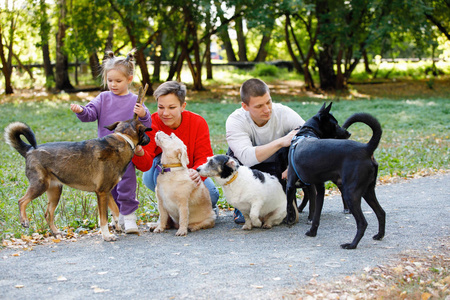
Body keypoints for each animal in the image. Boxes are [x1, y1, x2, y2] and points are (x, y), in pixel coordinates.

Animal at [3, 119, 151, 241]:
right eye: (145, 131)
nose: (150, 138)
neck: (124, 139)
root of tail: (29, 150)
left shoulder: (107, 192)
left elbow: (115, 210)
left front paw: (116, 226)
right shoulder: (102, 192)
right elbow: (103, 218)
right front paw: (107, 236)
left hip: (55, 191)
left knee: (48, 213)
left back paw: (56, 232)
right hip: (40, 185)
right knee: (22, 201)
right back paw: (24, 220)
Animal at [286, 103, 384, 248]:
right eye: (336, 124)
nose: (348, 133)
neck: (306, 134)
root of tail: (366, 148)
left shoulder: (290, 185)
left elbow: (288, 206)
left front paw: (288, 220)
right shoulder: (320, 189)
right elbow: (316, 214)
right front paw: (312, 232)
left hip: (351, 193)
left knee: (362, 222)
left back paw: (351, 245)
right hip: (368, 190)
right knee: (381, 212)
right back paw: (379, 235)